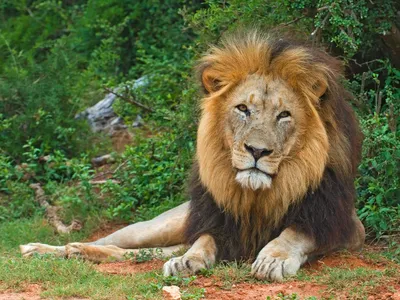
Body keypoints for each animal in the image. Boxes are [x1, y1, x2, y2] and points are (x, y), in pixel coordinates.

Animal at [21, 31, 366, 282]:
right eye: (243, 109)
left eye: (284, 115)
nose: (257, 151)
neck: (259, 196)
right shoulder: (215, 223)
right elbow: (203, 241)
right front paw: (188, 261)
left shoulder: (346, 226)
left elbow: (295, 232)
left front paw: (273, 258)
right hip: (158, 224)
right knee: (111, 240)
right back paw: (42, 249)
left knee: (139, 252)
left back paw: (77, 253)